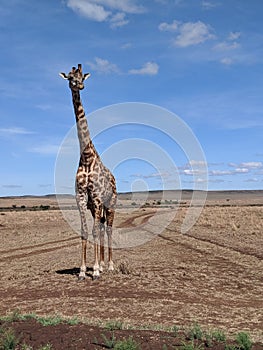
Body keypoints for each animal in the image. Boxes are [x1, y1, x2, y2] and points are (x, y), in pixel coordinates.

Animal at [60, 64, 118, 280]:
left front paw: (96, 271)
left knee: (108, 229)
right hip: (95, 207)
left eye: (82, 76)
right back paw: (100, 263)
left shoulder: (99, 198)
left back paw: (109, 265)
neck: (86, 157)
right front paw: (84, 270)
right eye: (70, 77)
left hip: (111, 204)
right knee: (99, 228)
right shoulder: (82, 197)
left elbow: (94, 231)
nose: (80, 85)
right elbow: (85, 231)